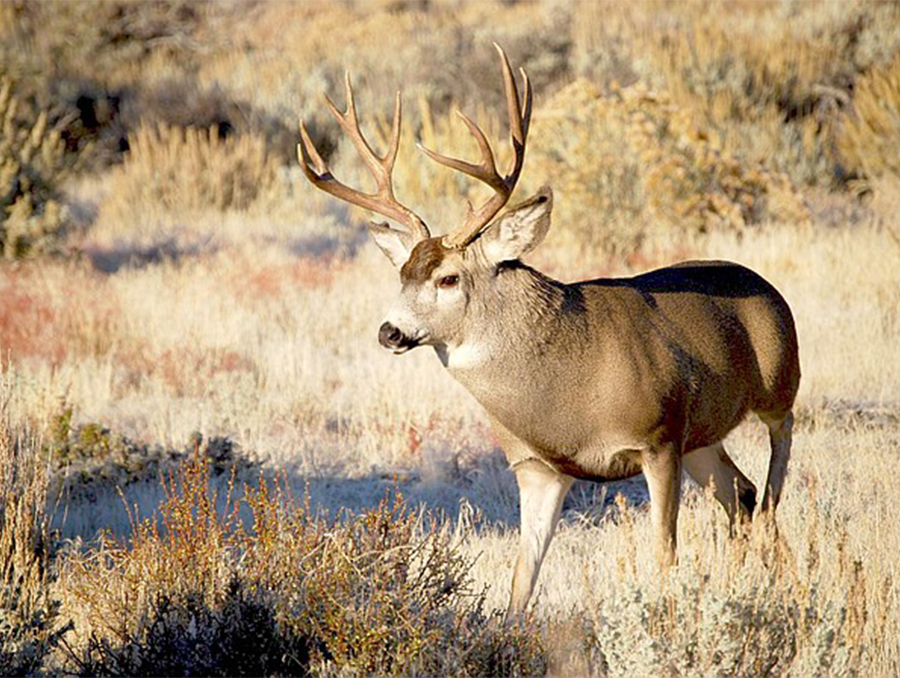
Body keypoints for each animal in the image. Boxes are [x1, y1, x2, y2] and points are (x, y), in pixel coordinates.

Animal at [298, 45, 800, 624]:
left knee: (772, 478)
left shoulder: (658, 438)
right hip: (704, 437)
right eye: (402, 273)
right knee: (740, 494)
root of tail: (764, 285)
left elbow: (664, 554)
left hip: (779, 385)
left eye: (448, 278)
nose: (390, 331)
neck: (571, 387)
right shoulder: (537, 466)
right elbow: (523, 579)